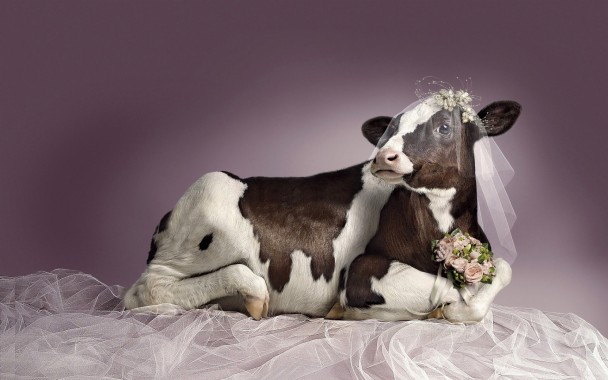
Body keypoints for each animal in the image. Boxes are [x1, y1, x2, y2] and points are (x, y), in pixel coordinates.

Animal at [122, 93, 516, 324]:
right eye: (391, 126)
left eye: (445, 127)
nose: (383, 156)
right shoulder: (360, 274)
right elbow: (449, 292)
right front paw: (447, 310)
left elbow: (504, 269)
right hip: (210, 192)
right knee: (146, 289)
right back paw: (254, 295)